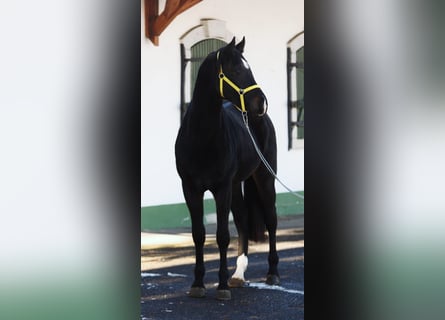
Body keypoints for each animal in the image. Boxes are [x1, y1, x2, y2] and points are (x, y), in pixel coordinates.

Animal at [174, 37, 276, 300]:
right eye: (237, 70)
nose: (262, 103)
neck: (202, 138)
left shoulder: (221, 189)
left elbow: (222, 236)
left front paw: (220, 287)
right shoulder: (191, 189)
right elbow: (199, 234)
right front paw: (198, 284)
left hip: (265, 178)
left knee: (271, 220)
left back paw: (272, 273)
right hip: (237, 185)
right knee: (242, 221)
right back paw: (238, 276)